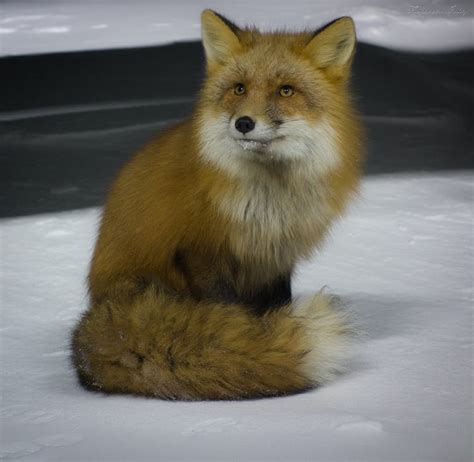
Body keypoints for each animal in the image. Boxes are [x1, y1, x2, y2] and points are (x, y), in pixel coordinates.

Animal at [72, 10, 364, 400]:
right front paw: (258, 345)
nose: (244, 123)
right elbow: (228, 313)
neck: (269, 200)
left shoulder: (275, 255)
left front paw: (274, 333)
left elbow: (278, 304)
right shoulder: (201, 252)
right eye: (239, 89)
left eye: (285, 90)